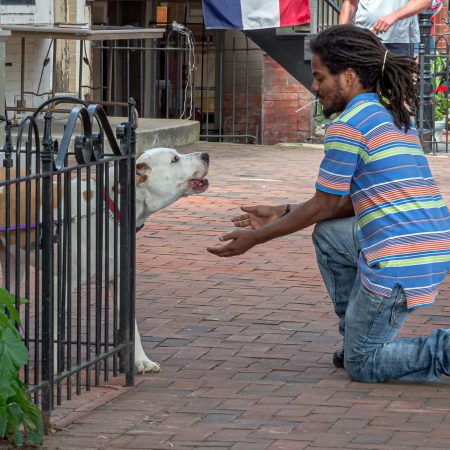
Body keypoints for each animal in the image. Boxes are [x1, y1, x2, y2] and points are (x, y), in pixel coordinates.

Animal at [0, 147, 210, 372]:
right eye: (174, 159)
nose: (206, 154)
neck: (107, 207)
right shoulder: (59, 283)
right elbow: (55, 330)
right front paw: (55, 367)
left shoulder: (119, 277)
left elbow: (131, 325)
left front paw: (140, 360)